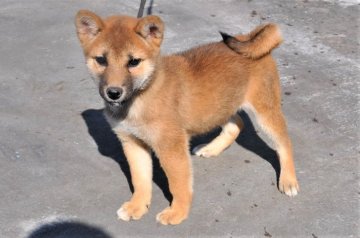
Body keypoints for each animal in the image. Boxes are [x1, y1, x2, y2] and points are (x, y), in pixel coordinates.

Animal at [75, 9, 298, 225]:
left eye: (133, 62)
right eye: (101, 60)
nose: (113, 93)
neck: (141, 97)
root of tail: (248, 37)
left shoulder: (171, 147)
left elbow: (178, 185)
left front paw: (178, 212)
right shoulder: (132, 143)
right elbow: (140, 180)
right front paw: (137, 206)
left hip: (264, 112)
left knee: (284, 142)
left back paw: (288, 180)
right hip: (219, 106)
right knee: (237, 124)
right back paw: (211, 149)